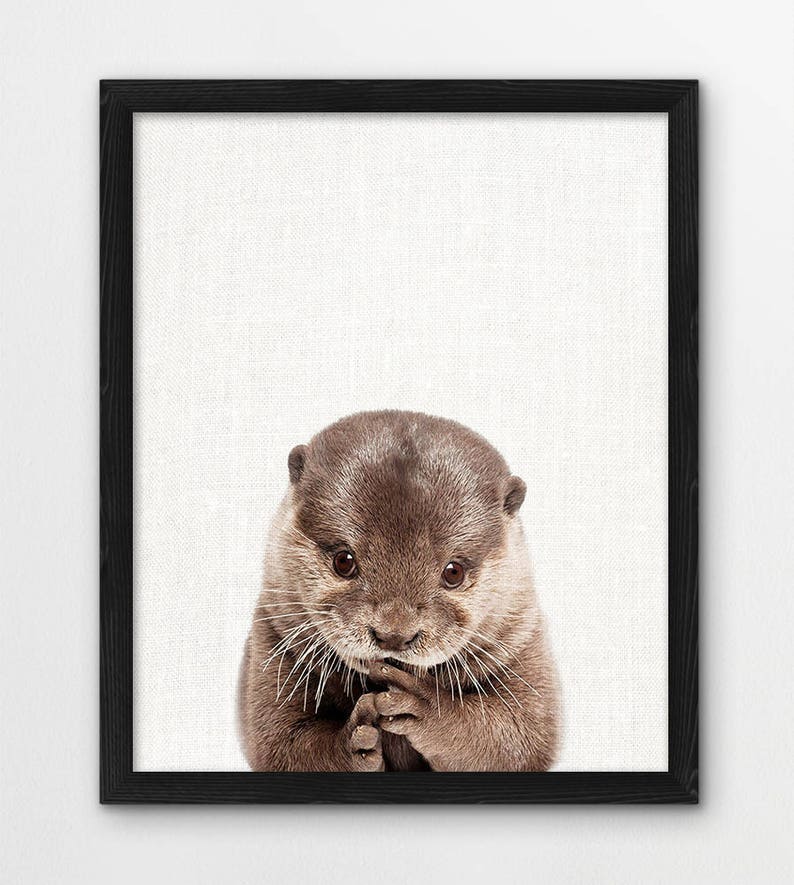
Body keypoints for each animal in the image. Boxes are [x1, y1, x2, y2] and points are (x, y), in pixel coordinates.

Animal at [238, 410, 559, 771]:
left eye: (453, 571)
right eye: (343, 560)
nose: (393, 635)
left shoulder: (523, 643)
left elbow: (519, 738)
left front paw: (425, 706)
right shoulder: (272, 642)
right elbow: (282, 745)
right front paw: (354, 739)